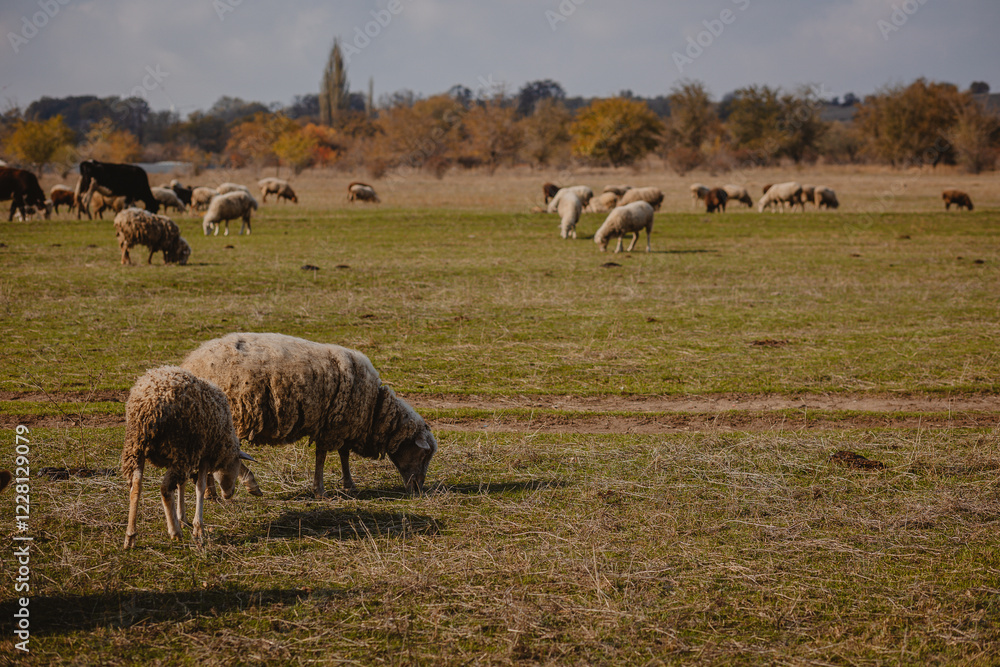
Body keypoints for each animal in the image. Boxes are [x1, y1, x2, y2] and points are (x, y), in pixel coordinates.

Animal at [122, 366, 260, 549]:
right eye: (236, 465)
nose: (229, 495)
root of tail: (150, 403)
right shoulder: (203, 455)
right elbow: (200, 487)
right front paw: (197, 528)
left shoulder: (182, 456)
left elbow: (182, 484)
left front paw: (182, 517)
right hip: (181, 444)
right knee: (165, 489)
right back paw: (175, 532)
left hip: (136, 446)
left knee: (136, 487)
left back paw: (130, 536)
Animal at [180, 332, 438, 498]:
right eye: (424, 455)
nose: (418, 490)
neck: (375, 411)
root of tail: (191, 363)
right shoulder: (334, 425)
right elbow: (323, 457)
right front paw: (321, 489)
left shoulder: (341, 425)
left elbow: (343, 455)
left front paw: (348, 484)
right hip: (231, 415)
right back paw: (250, 484)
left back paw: (210, 493)